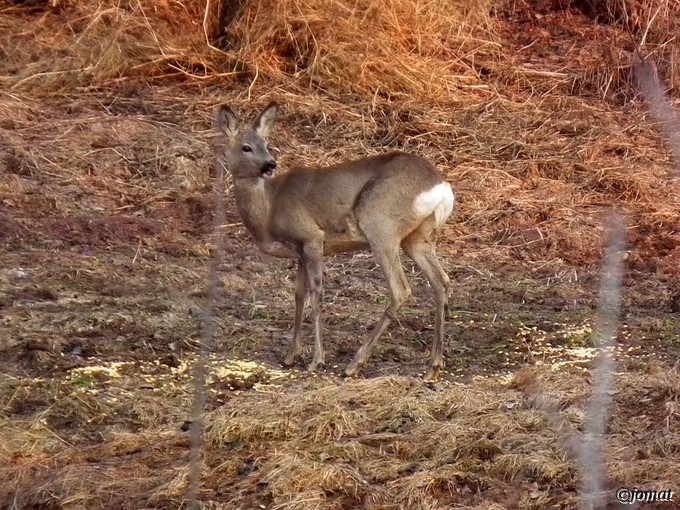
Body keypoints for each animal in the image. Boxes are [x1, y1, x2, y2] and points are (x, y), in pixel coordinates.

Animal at [215, 101, 454, 380]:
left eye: (266, 144)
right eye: (247, 147)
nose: (270, 164)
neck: (270, 208)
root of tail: (441, 187)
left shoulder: (312, 237)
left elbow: (316, 295)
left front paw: (316, 360)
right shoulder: (299, 250)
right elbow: (298, 295)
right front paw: (290, 356)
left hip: (380, 224)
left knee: (401, 289)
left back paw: (354, 364)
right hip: (418, 238)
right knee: (441, 281)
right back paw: (433, 366)